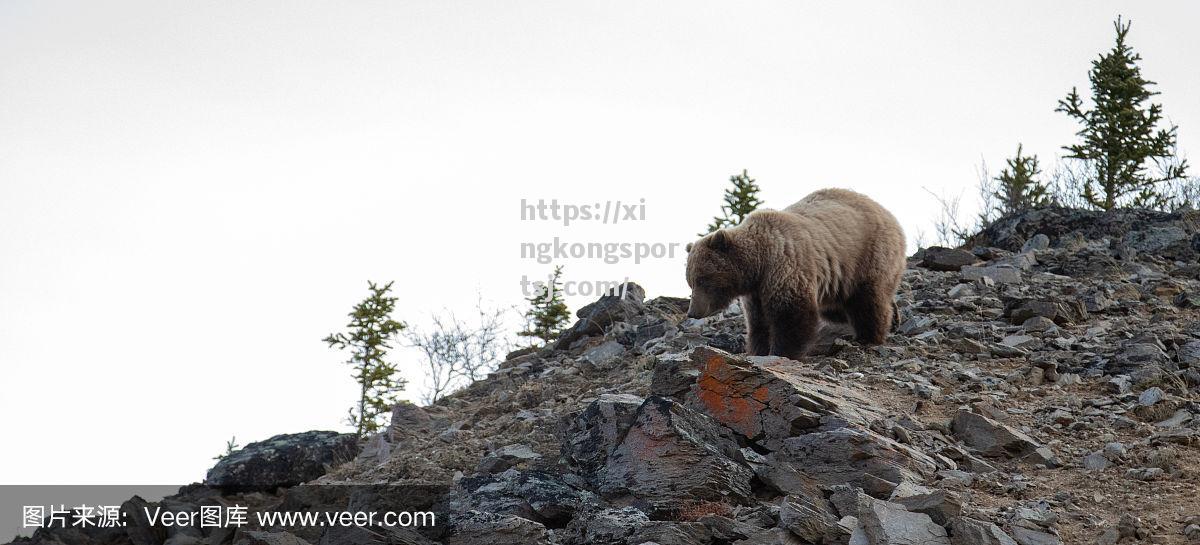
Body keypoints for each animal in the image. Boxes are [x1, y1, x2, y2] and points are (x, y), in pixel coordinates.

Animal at [686, 189, 902, 360]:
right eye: (690, 282)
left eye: (703, 279)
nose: (692, 312)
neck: (758, 263)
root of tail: (888, 213)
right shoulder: (755, 292)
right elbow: (758, 323)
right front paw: (758, 350)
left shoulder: (784, 267)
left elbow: (791, 314)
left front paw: (782, 352)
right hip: (841, 278)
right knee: (839, 307)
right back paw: (894, 317)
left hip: (868, 254)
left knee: (867, 299)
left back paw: (869, 335)